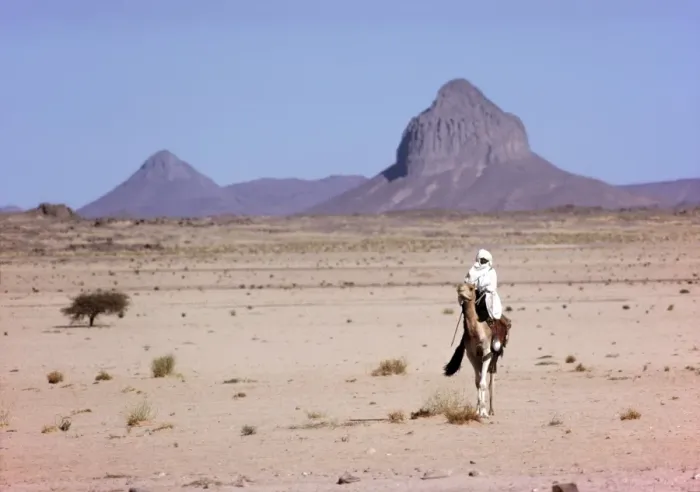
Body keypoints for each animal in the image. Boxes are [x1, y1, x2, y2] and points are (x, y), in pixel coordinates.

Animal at [443, 282, 510, 418]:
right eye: (460, 286)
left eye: (470, 288)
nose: (460, 290)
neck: (476, 332)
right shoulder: (471, 355)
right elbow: (477, 382)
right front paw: (477, 411)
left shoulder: (487, 352)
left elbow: (483, 383)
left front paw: (484, 412)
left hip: (495, 355)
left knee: (491, 379)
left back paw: (491, 410)